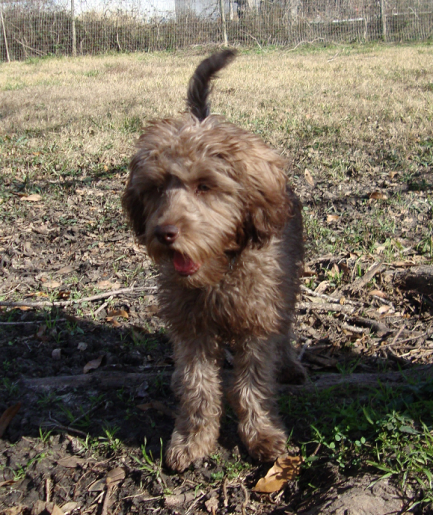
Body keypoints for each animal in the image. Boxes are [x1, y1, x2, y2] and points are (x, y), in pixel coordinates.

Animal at [121, 50, 304, 474]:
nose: (165, 233)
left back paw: (289, 363)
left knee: (285, 325)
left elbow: (252, 384)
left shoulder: (258, 319)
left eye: (205, 186)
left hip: (286, 284)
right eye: (156, 188)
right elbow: (198, 388)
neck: (219, 274)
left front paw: (261, 436)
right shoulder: (191, 327)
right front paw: (192, 441)